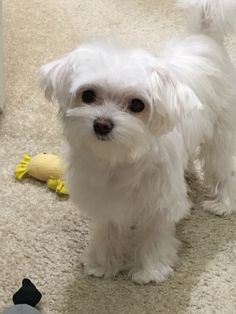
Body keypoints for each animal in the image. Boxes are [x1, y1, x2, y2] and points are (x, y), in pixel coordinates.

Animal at [39, 0, 236, 284]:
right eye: (87, 95)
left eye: (137, 105)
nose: (102, 124)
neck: (119, 158)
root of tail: (203, 36)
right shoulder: (106, 200)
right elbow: (108, 231)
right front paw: (102, 263)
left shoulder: (159, 203)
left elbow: (154, 236)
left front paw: (150, 270)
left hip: (219, 135)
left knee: (222, 169)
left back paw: (222, 204)